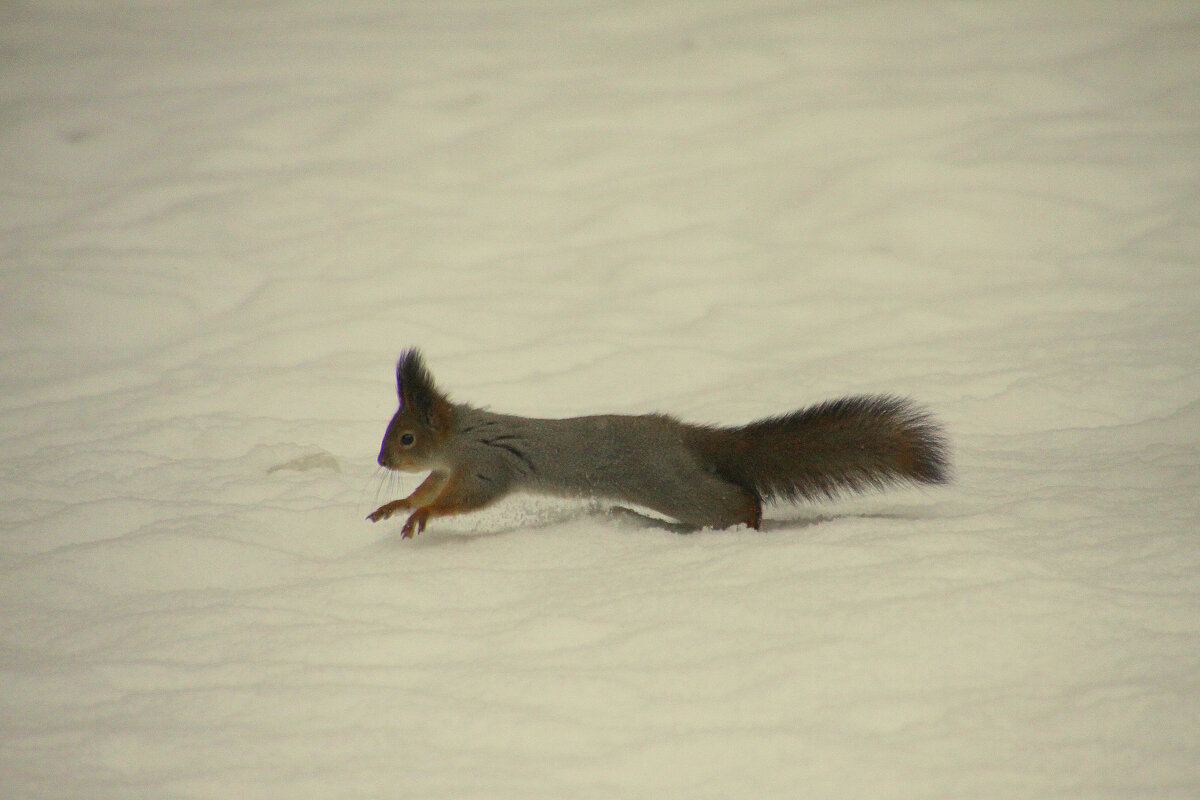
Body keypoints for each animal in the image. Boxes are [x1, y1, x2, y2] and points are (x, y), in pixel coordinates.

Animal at [364, 350, 945, 537]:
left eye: (406, 437)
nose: (381, 458)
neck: (460, 437)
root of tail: (686, 438)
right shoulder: (446, 469)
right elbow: (424, 491)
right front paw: (395, 507)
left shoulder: (487, 465)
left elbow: (462, 500)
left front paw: (422, 519)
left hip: (675, 489)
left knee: (737, 500)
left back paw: (747, 524)